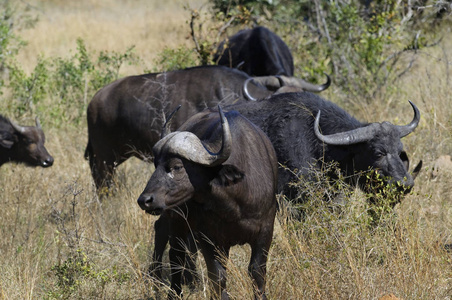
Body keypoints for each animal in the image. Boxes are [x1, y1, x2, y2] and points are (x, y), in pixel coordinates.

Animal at [137, 106, 278, 298]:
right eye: (155, 164)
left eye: (177, 166)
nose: (144, 200)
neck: (234, 204)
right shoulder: (208, 236)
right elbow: (217, 276)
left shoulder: (265, 230)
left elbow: (257, 273)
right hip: (177, 218)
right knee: (175, 253)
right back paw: (172, 291)